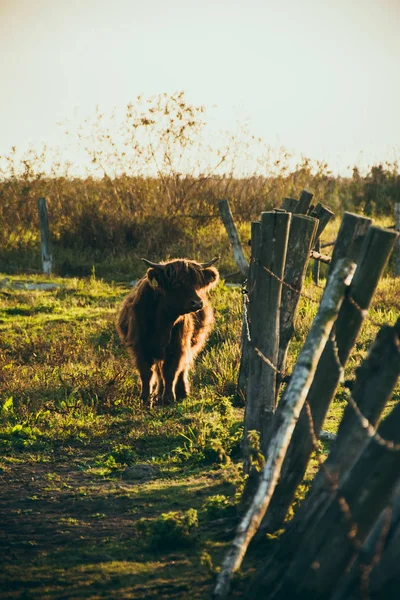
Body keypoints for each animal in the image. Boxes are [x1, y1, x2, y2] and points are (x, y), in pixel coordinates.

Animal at [116, 256, 219, 404]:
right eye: (177, 284)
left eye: (198, 283)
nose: (197, 303)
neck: (163, 322)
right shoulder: (140, 346)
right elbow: (146, 372)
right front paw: (145, 397)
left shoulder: (177, 346)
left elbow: (171, 371)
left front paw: (169, 398)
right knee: (158, 371)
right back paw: (157, 394)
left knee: (182, 367)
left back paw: (182, 392)